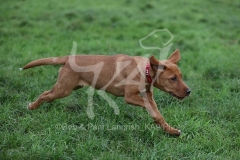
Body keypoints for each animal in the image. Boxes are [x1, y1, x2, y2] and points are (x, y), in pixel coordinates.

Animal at [21, 49, 190, 136]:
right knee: (44, 94)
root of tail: (68, 58)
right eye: (173, 78)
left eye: (181, 76)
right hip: (63, 89)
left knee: (48, 95)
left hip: (68, 87)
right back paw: (31, 107)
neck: (146, 70)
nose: (189, 91)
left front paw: (170, 130)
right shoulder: (130, 97)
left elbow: (157, 114)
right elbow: (151, 108)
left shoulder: (148, 96)